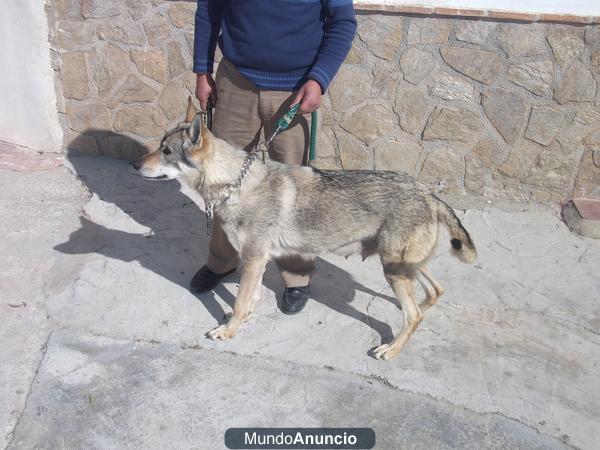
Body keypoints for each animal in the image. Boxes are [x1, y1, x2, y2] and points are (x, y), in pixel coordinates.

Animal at [134, 97, 476, 358]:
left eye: (166, 151)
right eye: (159, 146)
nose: (135, 164)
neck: (237, 184)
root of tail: (427, 193)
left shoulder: (254, 259)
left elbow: (242, 301)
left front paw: (228, 332)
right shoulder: (255, 261)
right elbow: (249, 300)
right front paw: (239, 319)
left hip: (393, 268)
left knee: (414, 315)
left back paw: (390, 349)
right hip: (403, 266)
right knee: (433, 293)